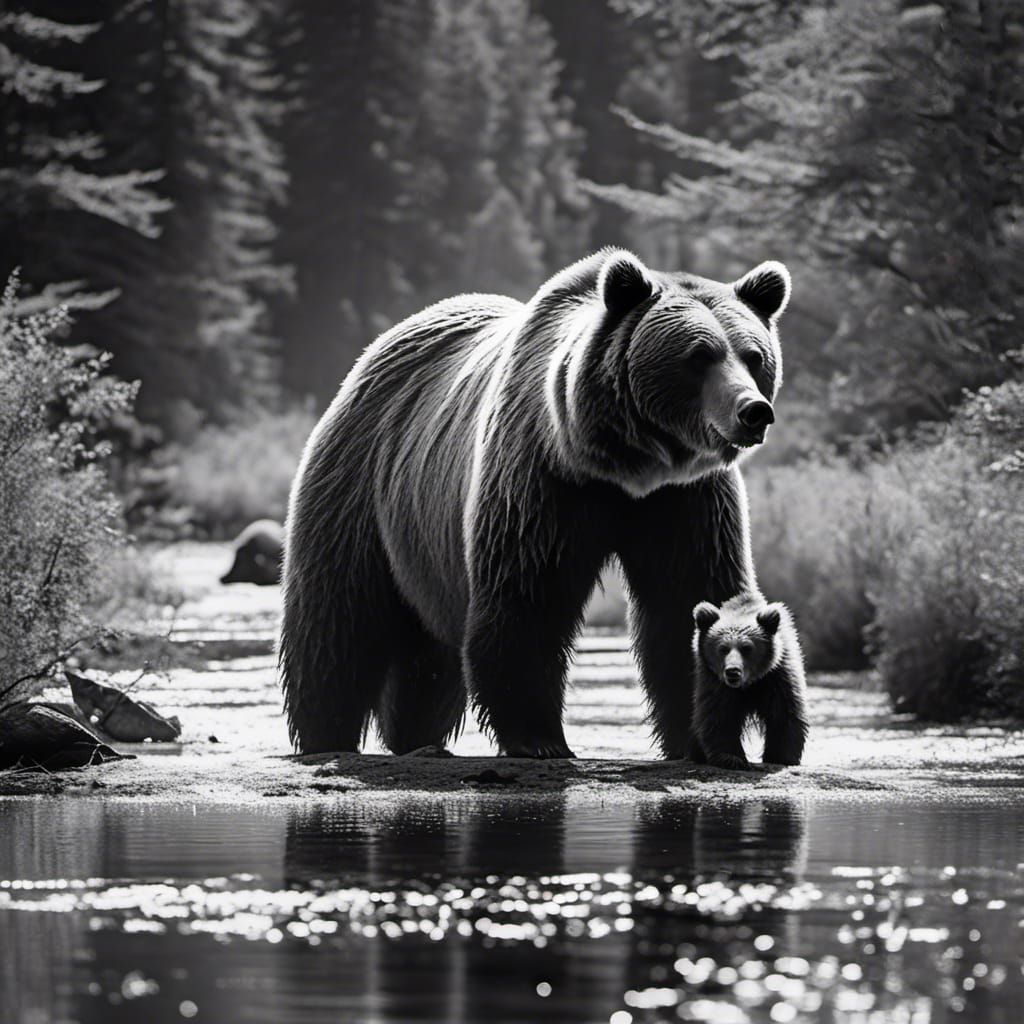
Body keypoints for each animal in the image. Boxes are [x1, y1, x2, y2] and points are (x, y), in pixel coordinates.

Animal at [279, 248, 796, 758]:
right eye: (699, 355)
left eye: (754, 356)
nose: (753, 411)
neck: (626, 465)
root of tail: (377, 347)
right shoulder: (543, 478)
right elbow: (528, 597)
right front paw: (539, 737)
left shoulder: (685, 498)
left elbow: (688, 593)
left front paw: (701, 737)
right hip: (360, 481)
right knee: (339, 621)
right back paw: (325, 735)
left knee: (429, 658)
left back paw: (418, 739)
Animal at [690, 594, 808, 770]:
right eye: (723, 648)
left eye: (747, 648)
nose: (733, 671)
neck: (750, 683)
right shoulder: (716, 681)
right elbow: (719, 714)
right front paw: (731, 758)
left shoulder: (777, 676)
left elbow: (784, 712)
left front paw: (781, 757)